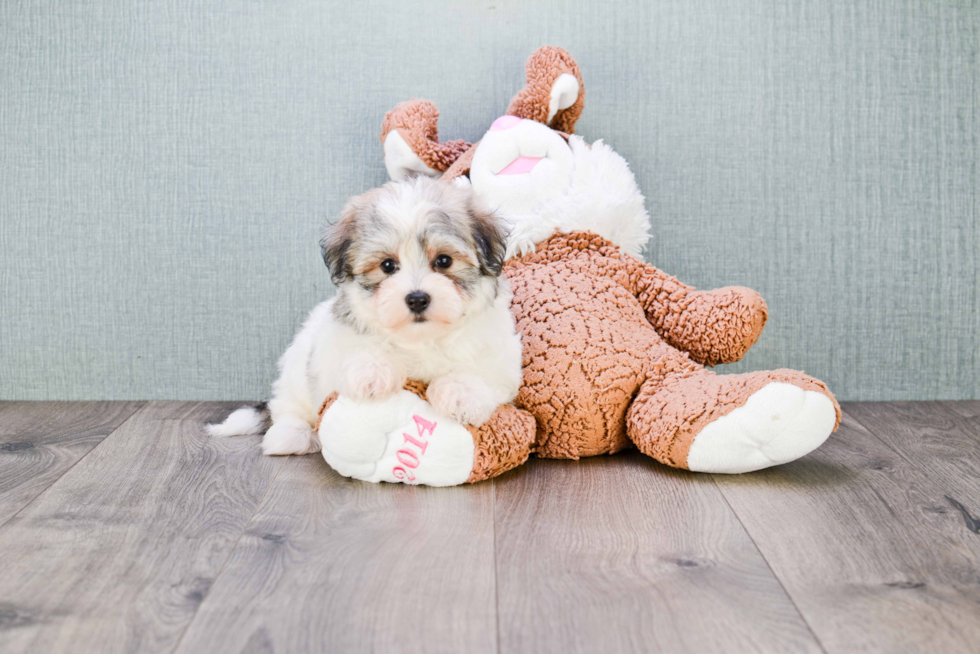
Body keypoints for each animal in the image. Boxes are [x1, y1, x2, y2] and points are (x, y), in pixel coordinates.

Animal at [208, 177, 524, 458]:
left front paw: (461, 393)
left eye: (444, 261)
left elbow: (481, 370)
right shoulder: (333, 345)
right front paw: (373, 371)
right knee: (287, 406)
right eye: (387, 266)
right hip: (295, 369)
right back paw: (292, 434)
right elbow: (357, 351)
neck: (420, 339)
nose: (417, 299)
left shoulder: (499, 352)